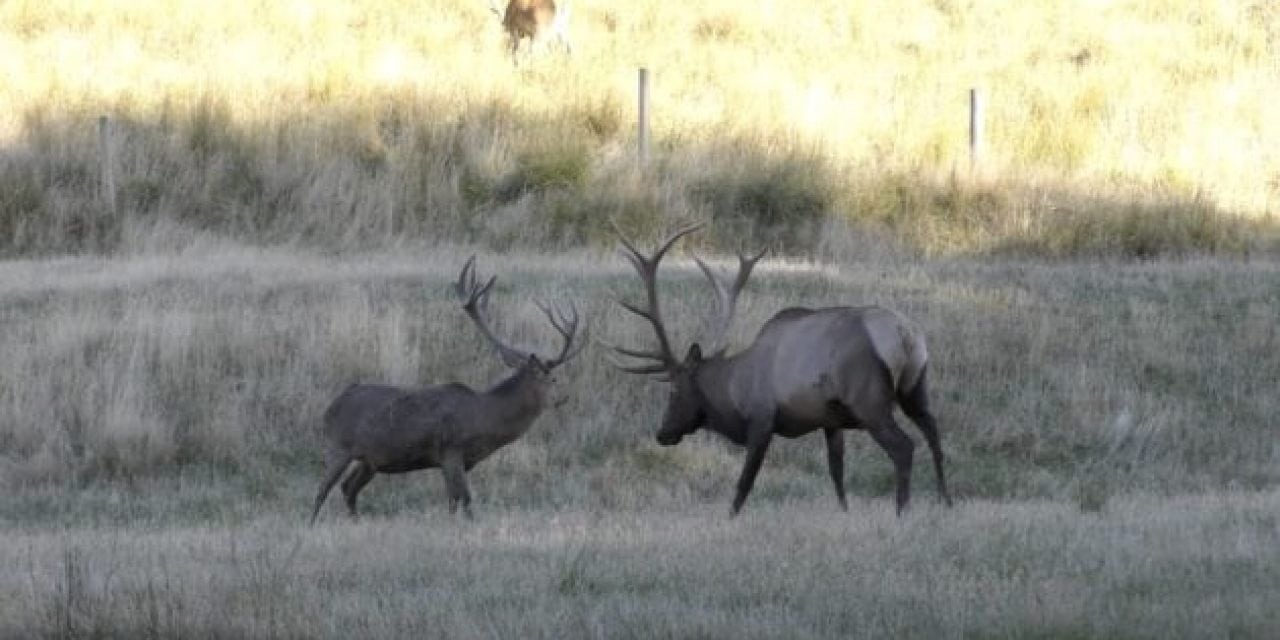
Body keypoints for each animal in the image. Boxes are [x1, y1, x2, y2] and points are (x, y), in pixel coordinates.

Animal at [309, 256, 588, 524]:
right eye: (553, 378)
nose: (564, 398)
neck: (485, 418)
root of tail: (330, 409)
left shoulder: (448, 460)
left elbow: (452, 500)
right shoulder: (452, 449)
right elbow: (465, 499)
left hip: (370, 459)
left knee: (348, 487)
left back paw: (354, 521)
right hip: (339, 445)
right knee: (322, 490)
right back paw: (311, 524)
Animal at [609, 225, 952, 514]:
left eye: (674, 389)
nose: (662, 433)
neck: (735, 391)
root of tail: (905, 335)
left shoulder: (762, 418)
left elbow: (744, 483)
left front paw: (730, 518)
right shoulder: (831, 421)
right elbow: (836, 472)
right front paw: (844, 512)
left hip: (870, 401)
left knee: (904, 447)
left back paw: (902, 510)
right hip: (916, 387)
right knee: (934, 435)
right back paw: (945, 501)